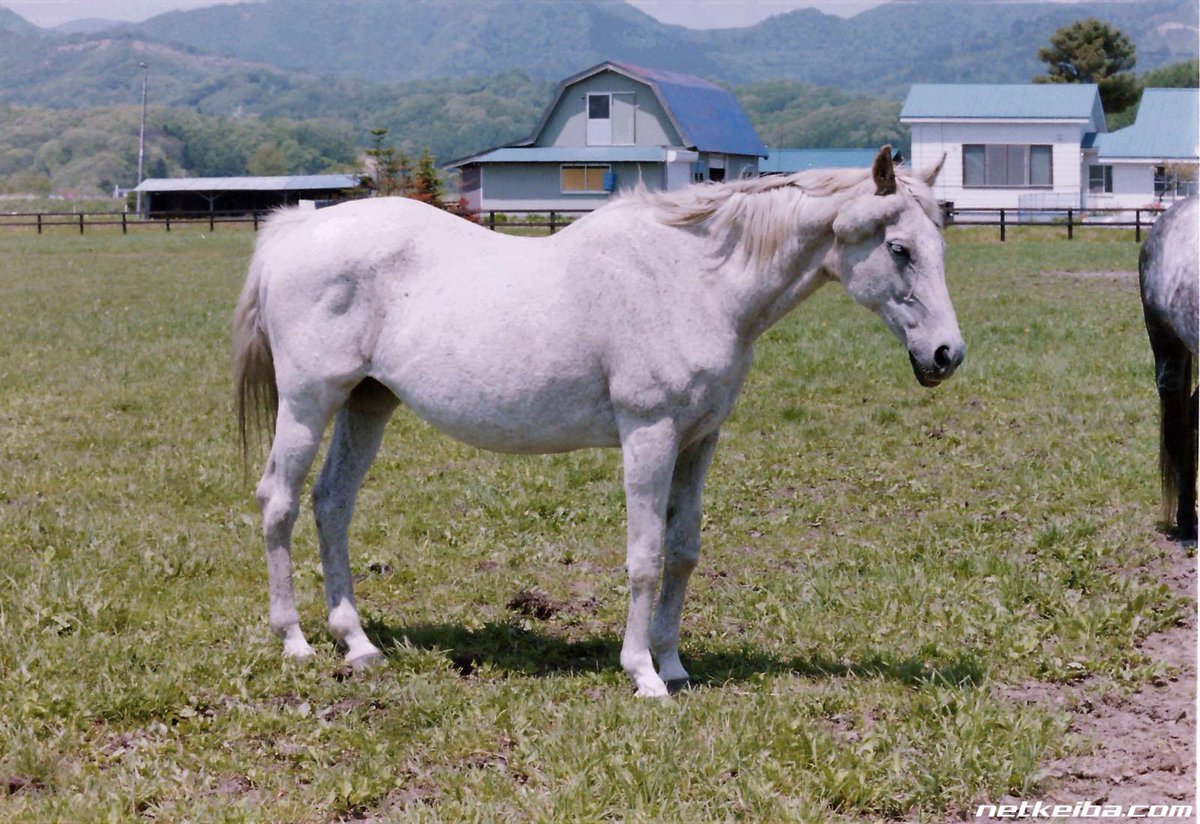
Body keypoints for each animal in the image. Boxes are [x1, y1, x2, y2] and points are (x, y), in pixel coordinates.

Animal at [233, 146, 964, 697]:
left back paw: (357, 643)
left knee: (332, 504)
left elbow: (683, 549)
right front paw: (643, 675)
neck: (693, 280)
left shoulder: (700, 439)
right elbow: (644, 556)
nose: (946, 355)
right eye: (898, 248)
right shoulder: (650, 434)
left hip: (367, 402)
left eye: (938, 243)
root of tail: (295, 232)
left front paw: (674, 663)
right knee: (280, 503)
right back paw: (295, 640)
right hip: (309, 403)